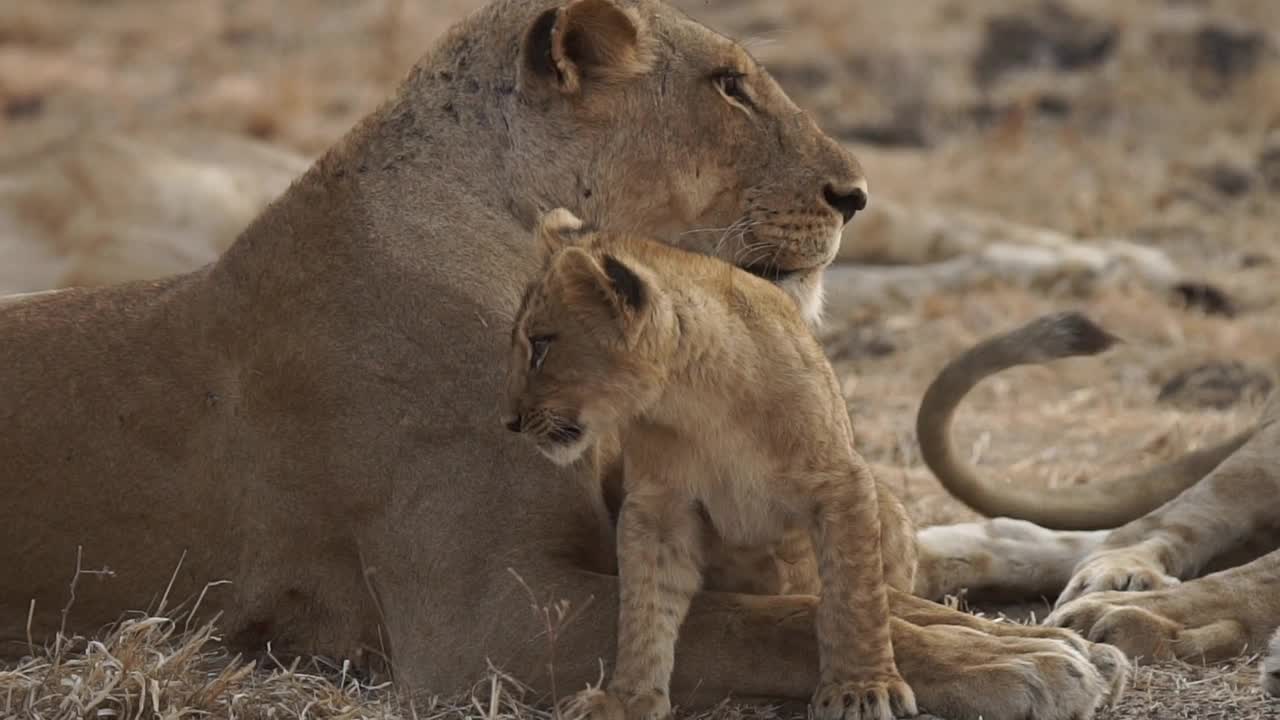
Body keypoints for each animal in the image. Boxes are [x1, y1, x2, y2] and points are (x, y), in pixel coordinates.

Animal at [0, 1, 1126, 717]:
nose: (855, 196)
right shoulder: (479, 622)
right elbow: (761, 618)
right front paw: (1018, 659)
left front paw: (1050, 612)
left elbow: (857, 582)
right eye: (729, 87)